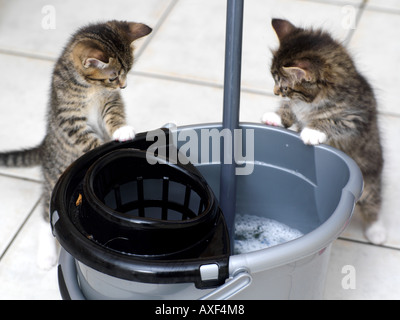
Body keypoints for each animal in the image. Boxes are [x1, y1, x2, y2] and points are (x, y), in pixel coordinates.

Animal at [0, 20, 152, 268]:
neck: (91, 88)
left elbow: (114, 113)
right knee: (46, 211)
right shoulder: (69, 117)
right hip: (55, 174)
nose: (123, 86)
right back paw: (46, 255)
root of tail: (44, 145)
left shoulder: (110, 101)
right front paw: (101, 146)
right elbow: (84, 136)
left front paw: (122, 130)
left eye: (128, 72)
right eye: (113, 77)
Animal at [260, 19, 386, 245]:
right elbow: (289, 109)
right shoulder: (296, 107)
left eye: (283, 86)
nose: (274, 92)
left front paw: (312, 132)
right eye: (274, 81)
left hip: (370, 176)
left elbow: (330, 121)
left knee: (373, 202)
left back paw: (376, 231)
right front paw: (274, 117)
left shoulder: (354, 118)